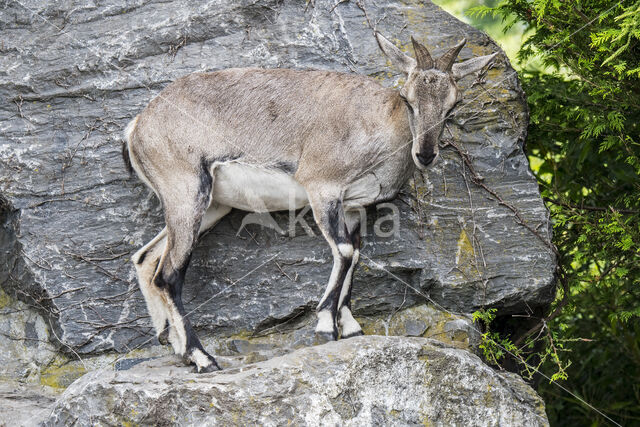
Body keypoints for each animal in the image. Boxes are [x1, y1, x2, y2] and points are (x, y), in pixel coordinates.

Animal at [124, 32, 496, 374]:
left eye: (452, 105)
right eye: (408, 98)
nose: (426, 154)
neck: (377, 122)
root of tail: (138, 125)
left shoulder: (353, 206)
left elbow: (355, 253)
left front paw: (349, 325)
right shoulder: (322, 188)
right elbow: (344, 251)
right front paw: (325, 325)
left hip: (208, 207)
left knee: (147, 260)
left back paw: (176, 346)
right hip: (186, 193)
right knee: (168, 274)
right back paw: (201, 357)